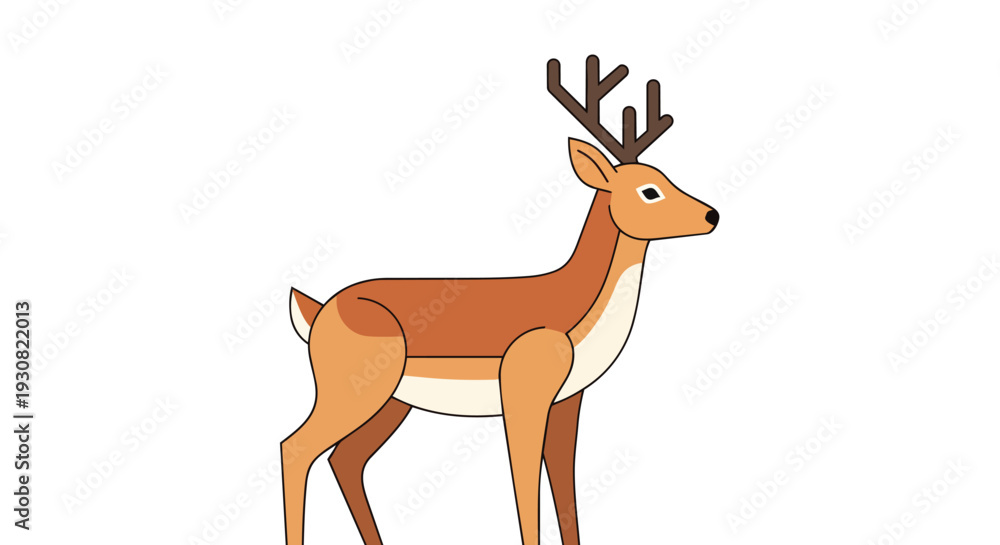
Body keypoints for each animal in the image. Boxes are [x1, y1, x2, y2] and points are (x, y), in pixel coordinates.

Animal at [281, 55, 718, 545]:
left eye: (667, 177)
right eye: (649, 190)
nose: (712, 215)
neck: (576, 311)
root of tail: (319, 310)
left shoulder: (568, 401)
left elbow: (564, 488)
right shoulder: (522, 394)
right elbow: (524, 488)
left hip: (391, 402)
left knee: (346, 459)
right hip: (350, 392)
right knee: (296, 447)